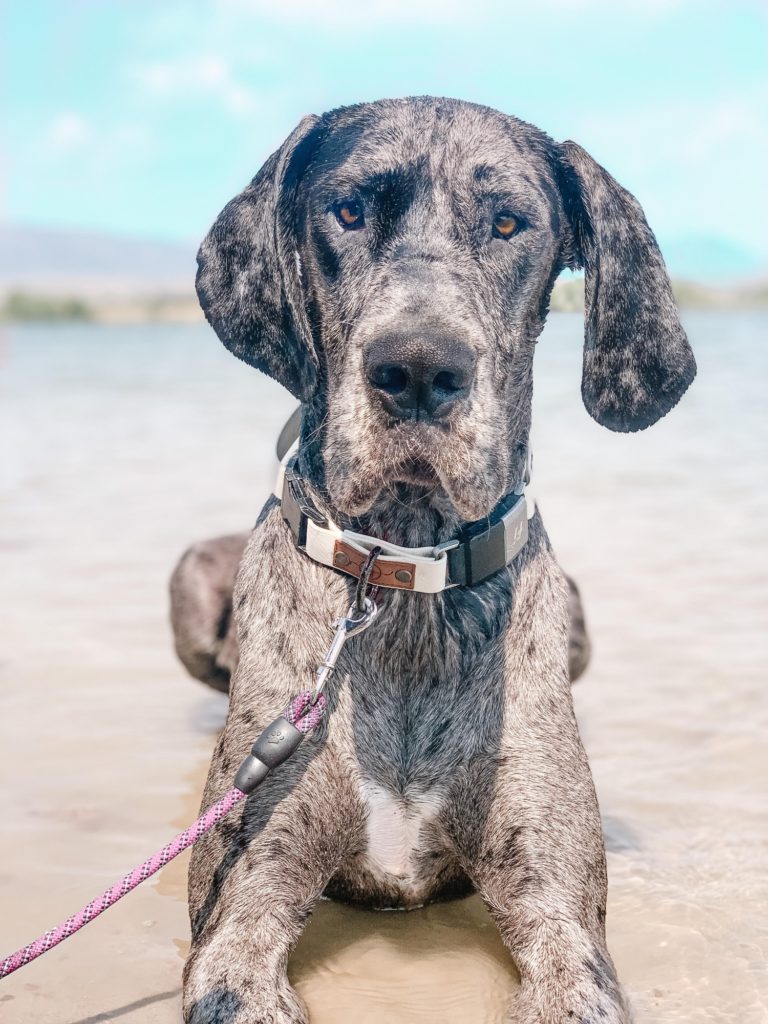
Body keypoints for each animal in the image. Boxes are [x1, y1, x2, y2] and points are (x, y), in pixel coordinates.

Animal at [174, 96, 696, 1024]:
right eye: (349, 210)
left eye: (508, 223)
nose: (418, 367)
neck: (403, 572)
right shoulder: (245, 895)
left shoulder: (557, 904)